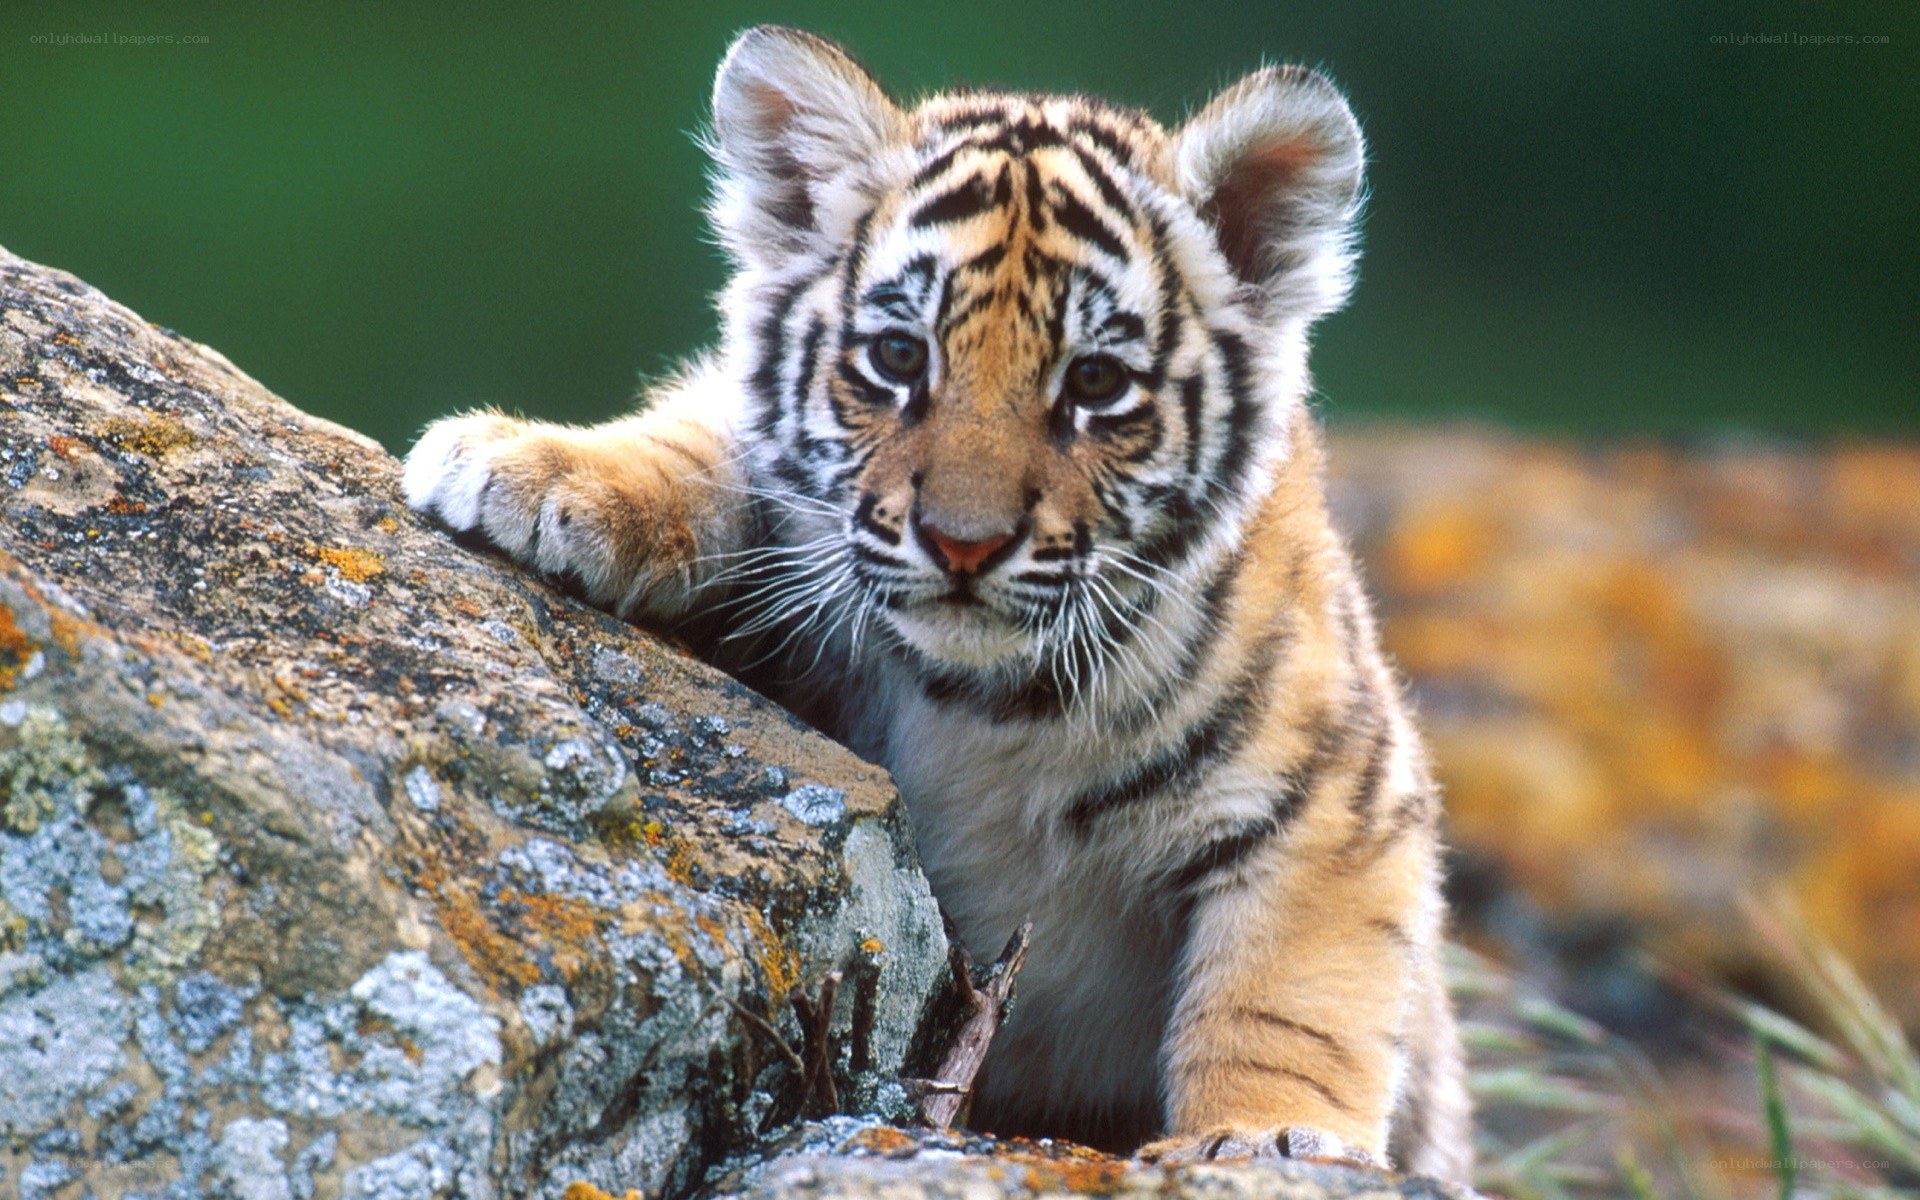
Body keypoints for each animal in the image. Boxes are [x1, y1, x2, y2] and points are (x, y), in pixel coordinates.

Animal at [402, 25, 1471, 1179]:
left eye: (1096, 383)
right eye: (898, 356)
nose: (964, 542)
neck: (985, 703)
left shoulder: (1337, 802)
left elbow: (1286, 1001)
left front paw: (1267, 1139)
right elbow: (707, 440)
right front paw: (530, 467)